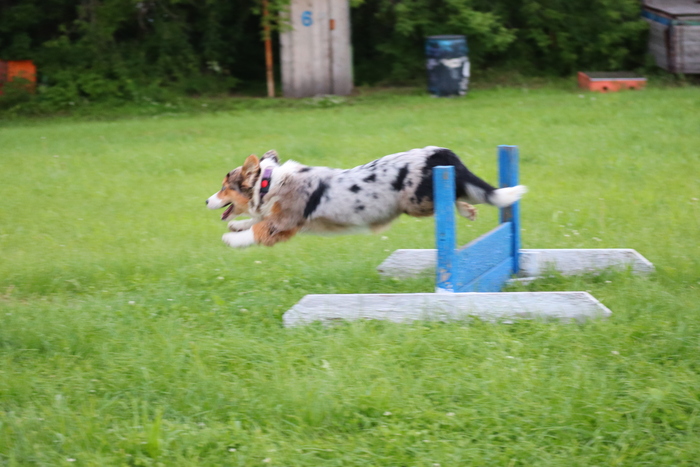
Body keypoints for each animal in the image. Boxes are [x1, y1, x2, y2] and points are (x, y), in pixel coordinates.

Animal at [206, 146, 526, 248]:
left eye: (223, 187)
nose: (206, 201)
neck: (268, 183)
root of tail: (438, 154)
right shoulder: (280, 220)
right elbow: (253, 221)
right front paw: (236, 226)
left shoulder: (283, 224)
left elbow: (258, 229)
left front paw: (231, 238)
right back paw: (469, 211)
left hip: (415, 202)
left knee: (455, 197)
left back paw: (466, 209)